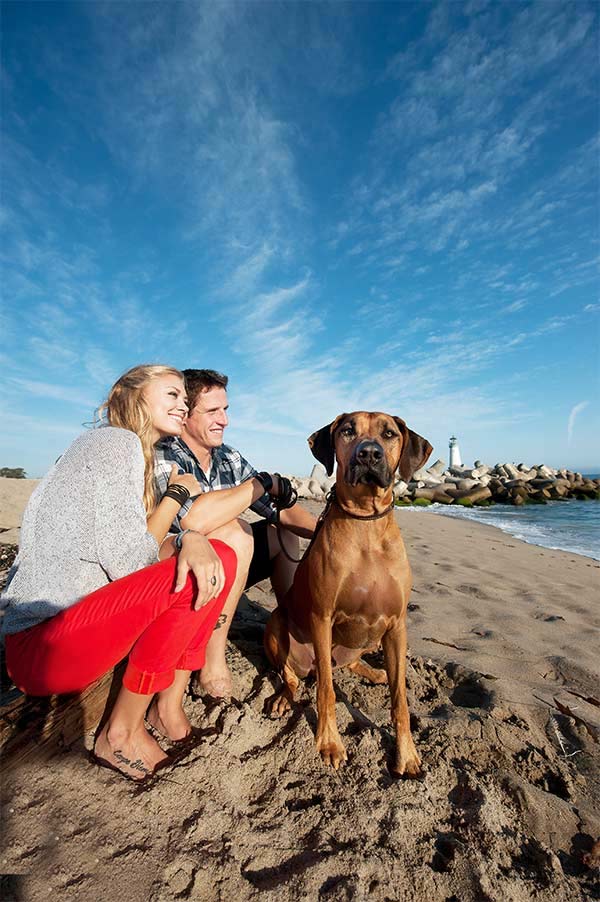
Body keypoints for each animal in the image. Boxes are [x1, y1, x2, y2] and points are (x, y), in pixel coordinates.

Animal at [264, 414, 432, 776]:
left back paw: (377, 672)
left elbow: (400, 701)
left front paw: (407, 754)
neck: (366, 521)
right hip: (276, 625)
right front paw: (329, 744)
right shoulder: (322, 617)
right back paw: (284, 697)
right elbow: (327, 692)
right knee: (292, 677)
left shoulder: (397, 625)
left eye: (389, 434)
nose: (368, 454)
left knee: (354, 663)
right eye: (347, 431)